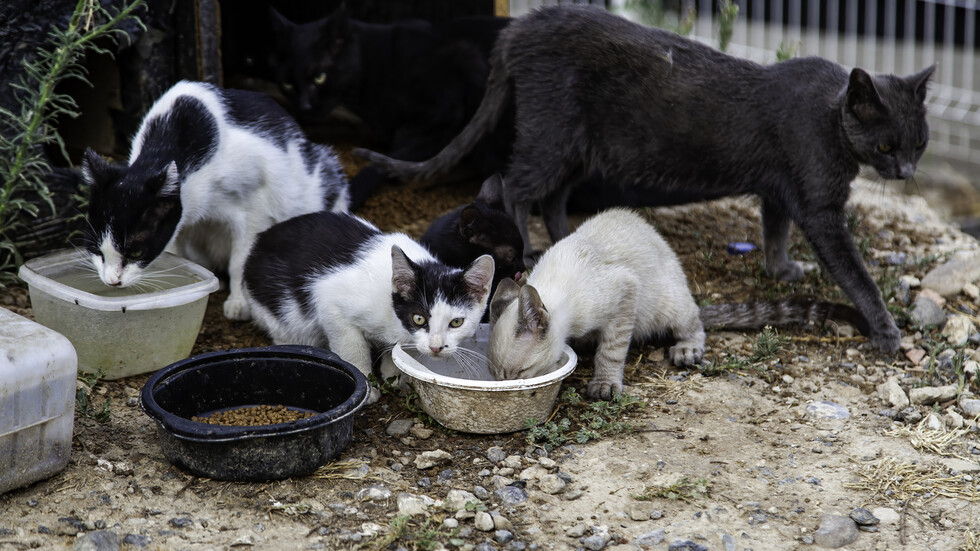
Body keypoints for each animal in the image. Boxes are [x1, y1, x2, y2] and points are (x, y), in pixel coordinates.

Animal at [81, 80, 348, 322]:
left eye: (136, 251)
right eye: (96, 250)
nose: (112, 281)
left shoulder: (254, 209)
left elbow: (240, 260)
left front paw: (239, 303)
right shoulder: (178, 226)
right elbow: (175, 254)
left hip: (319, 178)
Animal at [241, 211, 494, 402]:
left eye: (456, 322)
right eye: (419, 318)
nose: (436, 347)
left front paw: (394, 372)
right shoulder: (330, 302)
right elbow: (351, 348)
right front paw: (366, 388)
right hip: (284, 314)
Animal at [354, 4, 936, 354]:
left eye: (919, 143)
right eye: (887, 145)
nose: (907, 171)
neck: (830, 118)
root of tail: (522, 24)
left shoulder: (779, 189)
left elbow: (774, 227)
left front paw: (782, 267)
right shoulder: (820, 207)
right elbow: (854, 272)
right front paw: (886, 330)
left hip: (578, 147)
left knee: (554, 196)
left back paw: (566, 237)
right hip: (552, 133)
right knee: (520, 187)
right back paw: (530, 248)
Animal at [490, 209, 864, 398]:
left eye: (518, 374)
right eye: (496, 375)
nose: (505, 386)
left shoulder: (626, 294)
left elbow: (611, 351)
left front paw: (604, 383)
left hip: (668, 305)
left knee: (695, 323)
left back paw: (687, 349)